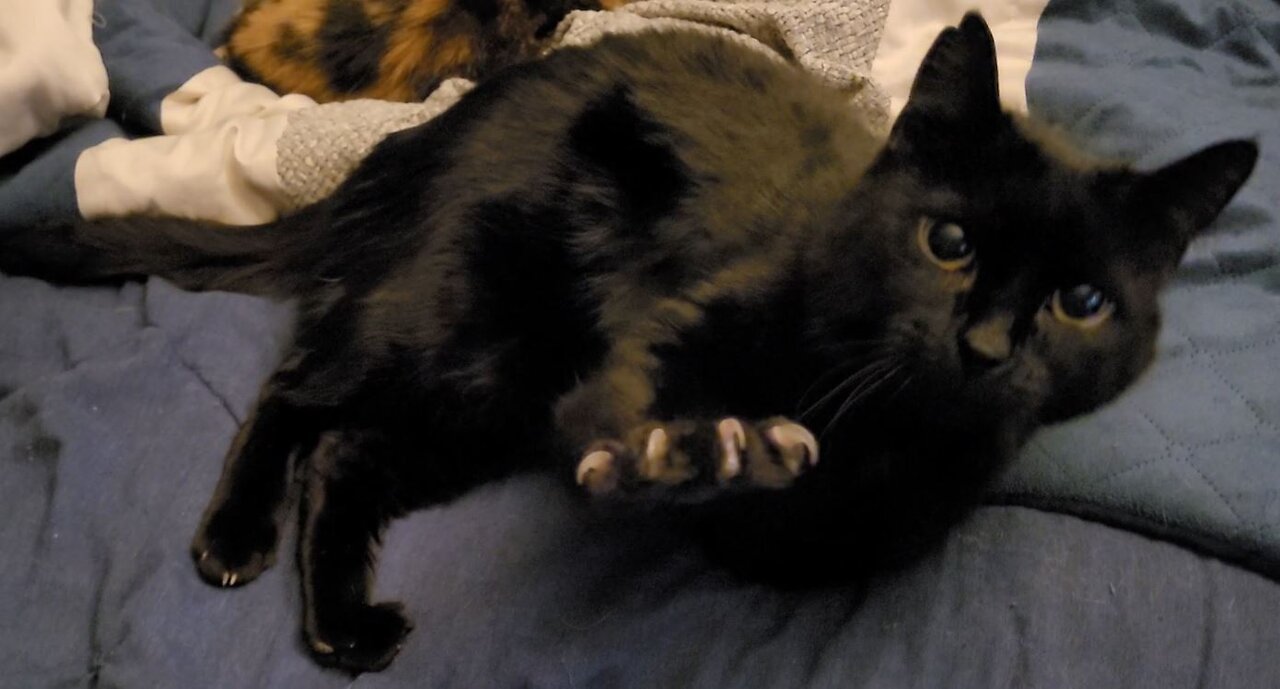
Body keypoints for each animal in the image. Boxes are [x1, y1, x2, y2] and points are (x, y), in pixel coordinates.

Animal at [0, 13, 1259, 671]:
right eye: (945, 241)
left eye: (1080, 302)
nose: (989, 342)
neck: (876, 411)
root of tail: (422, 137)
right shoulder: (658, 334)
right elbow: (657, 410)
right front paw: (700, 449)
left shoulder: (894, 511)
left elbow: (809, 530)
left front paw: (756, 464)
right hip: (455, 332)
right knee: (296, 394)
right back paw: (233, 535)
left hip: (485, 403)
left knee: (347, 451)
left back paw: (344, 622)